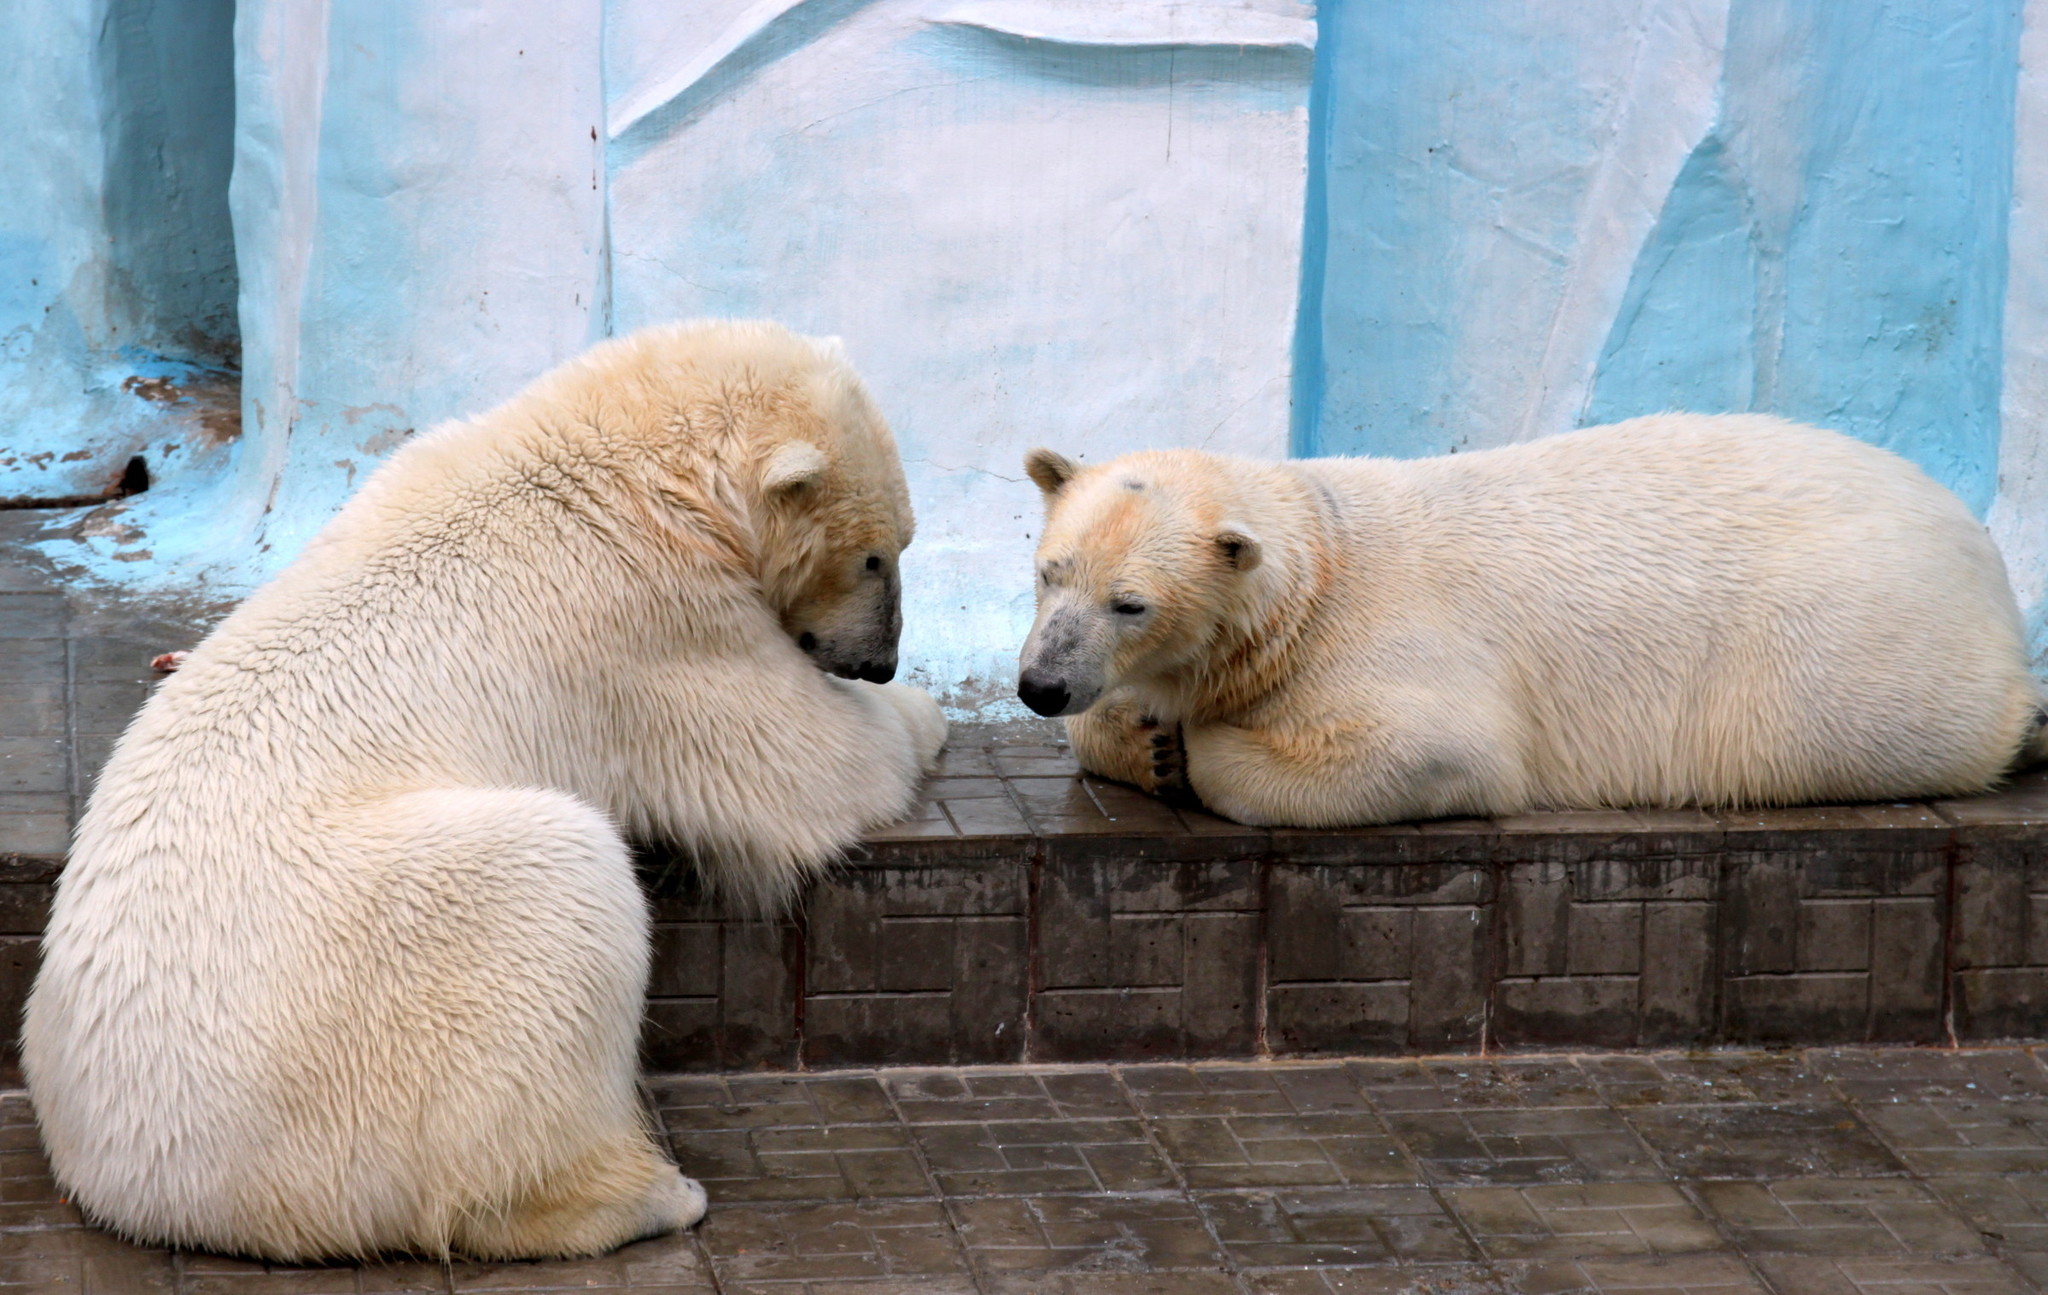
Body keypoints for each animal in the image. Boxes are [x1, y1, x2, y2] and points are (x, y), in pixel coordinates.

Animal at [22, 319, 942, 1262]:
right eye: (879, 557)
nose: (880, 661)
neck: (627, 468)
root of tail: (138, 1181)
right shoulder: (658, 620)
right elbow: (800, 761)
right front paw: (922, 713)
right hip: (373, 973)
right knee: (554, 905)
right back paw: (648, 1190)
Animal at [1024, 409, 2048, 823]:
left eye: (1131, 602)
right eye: (1048, 571)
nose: (1039, 685)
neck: (1321, 563)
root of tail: (1979, 548)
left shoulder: (1394, 643)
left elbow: (1436, 748)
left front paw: (1191, 747)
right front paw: (1145, 737)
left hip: (1839, 642)